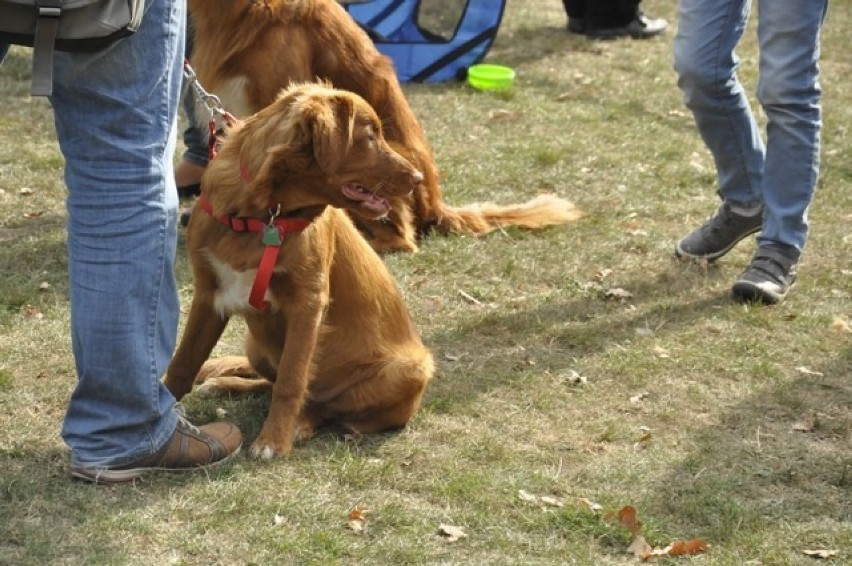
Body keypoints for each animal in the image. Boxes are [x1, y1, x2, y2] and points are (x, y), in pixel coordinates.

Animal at [164, 82, 436, 460]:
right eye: (370, 137)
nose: (418, 178)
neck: (264, 215)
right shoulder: (208, 293)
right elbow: (184, 361)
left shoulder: (308, 303)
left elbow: (292, 381)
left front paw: (273, 441)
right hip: (256, 343)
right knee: (270, 379)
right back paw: (225, 383)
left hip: (408, 370)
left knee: (323, 406)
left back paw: (301, 424)